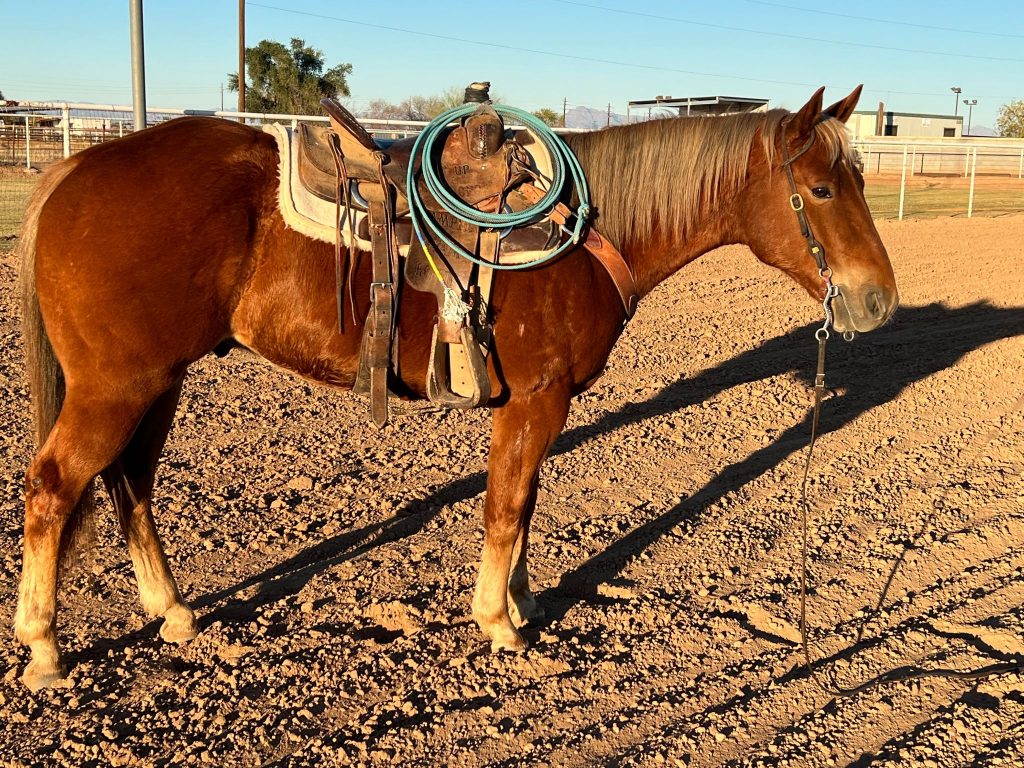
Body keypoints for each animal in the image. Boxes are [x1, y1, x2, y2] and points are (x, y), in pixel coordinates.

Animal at [13, 85, 897, 690]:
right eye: (822, 190)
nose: (879, 300)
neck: (581, 233)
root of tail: (76, 167)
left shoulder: (540, 407)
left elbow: (527, 504)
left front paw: (522, 600)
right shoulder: (538, 400)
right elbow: (507, 506)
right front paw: (499, 623)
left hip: (158, 384)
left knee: (130, 484)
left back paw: (172, 613)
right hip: (116, 389)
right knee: (54, 487)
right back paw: (44, 646)